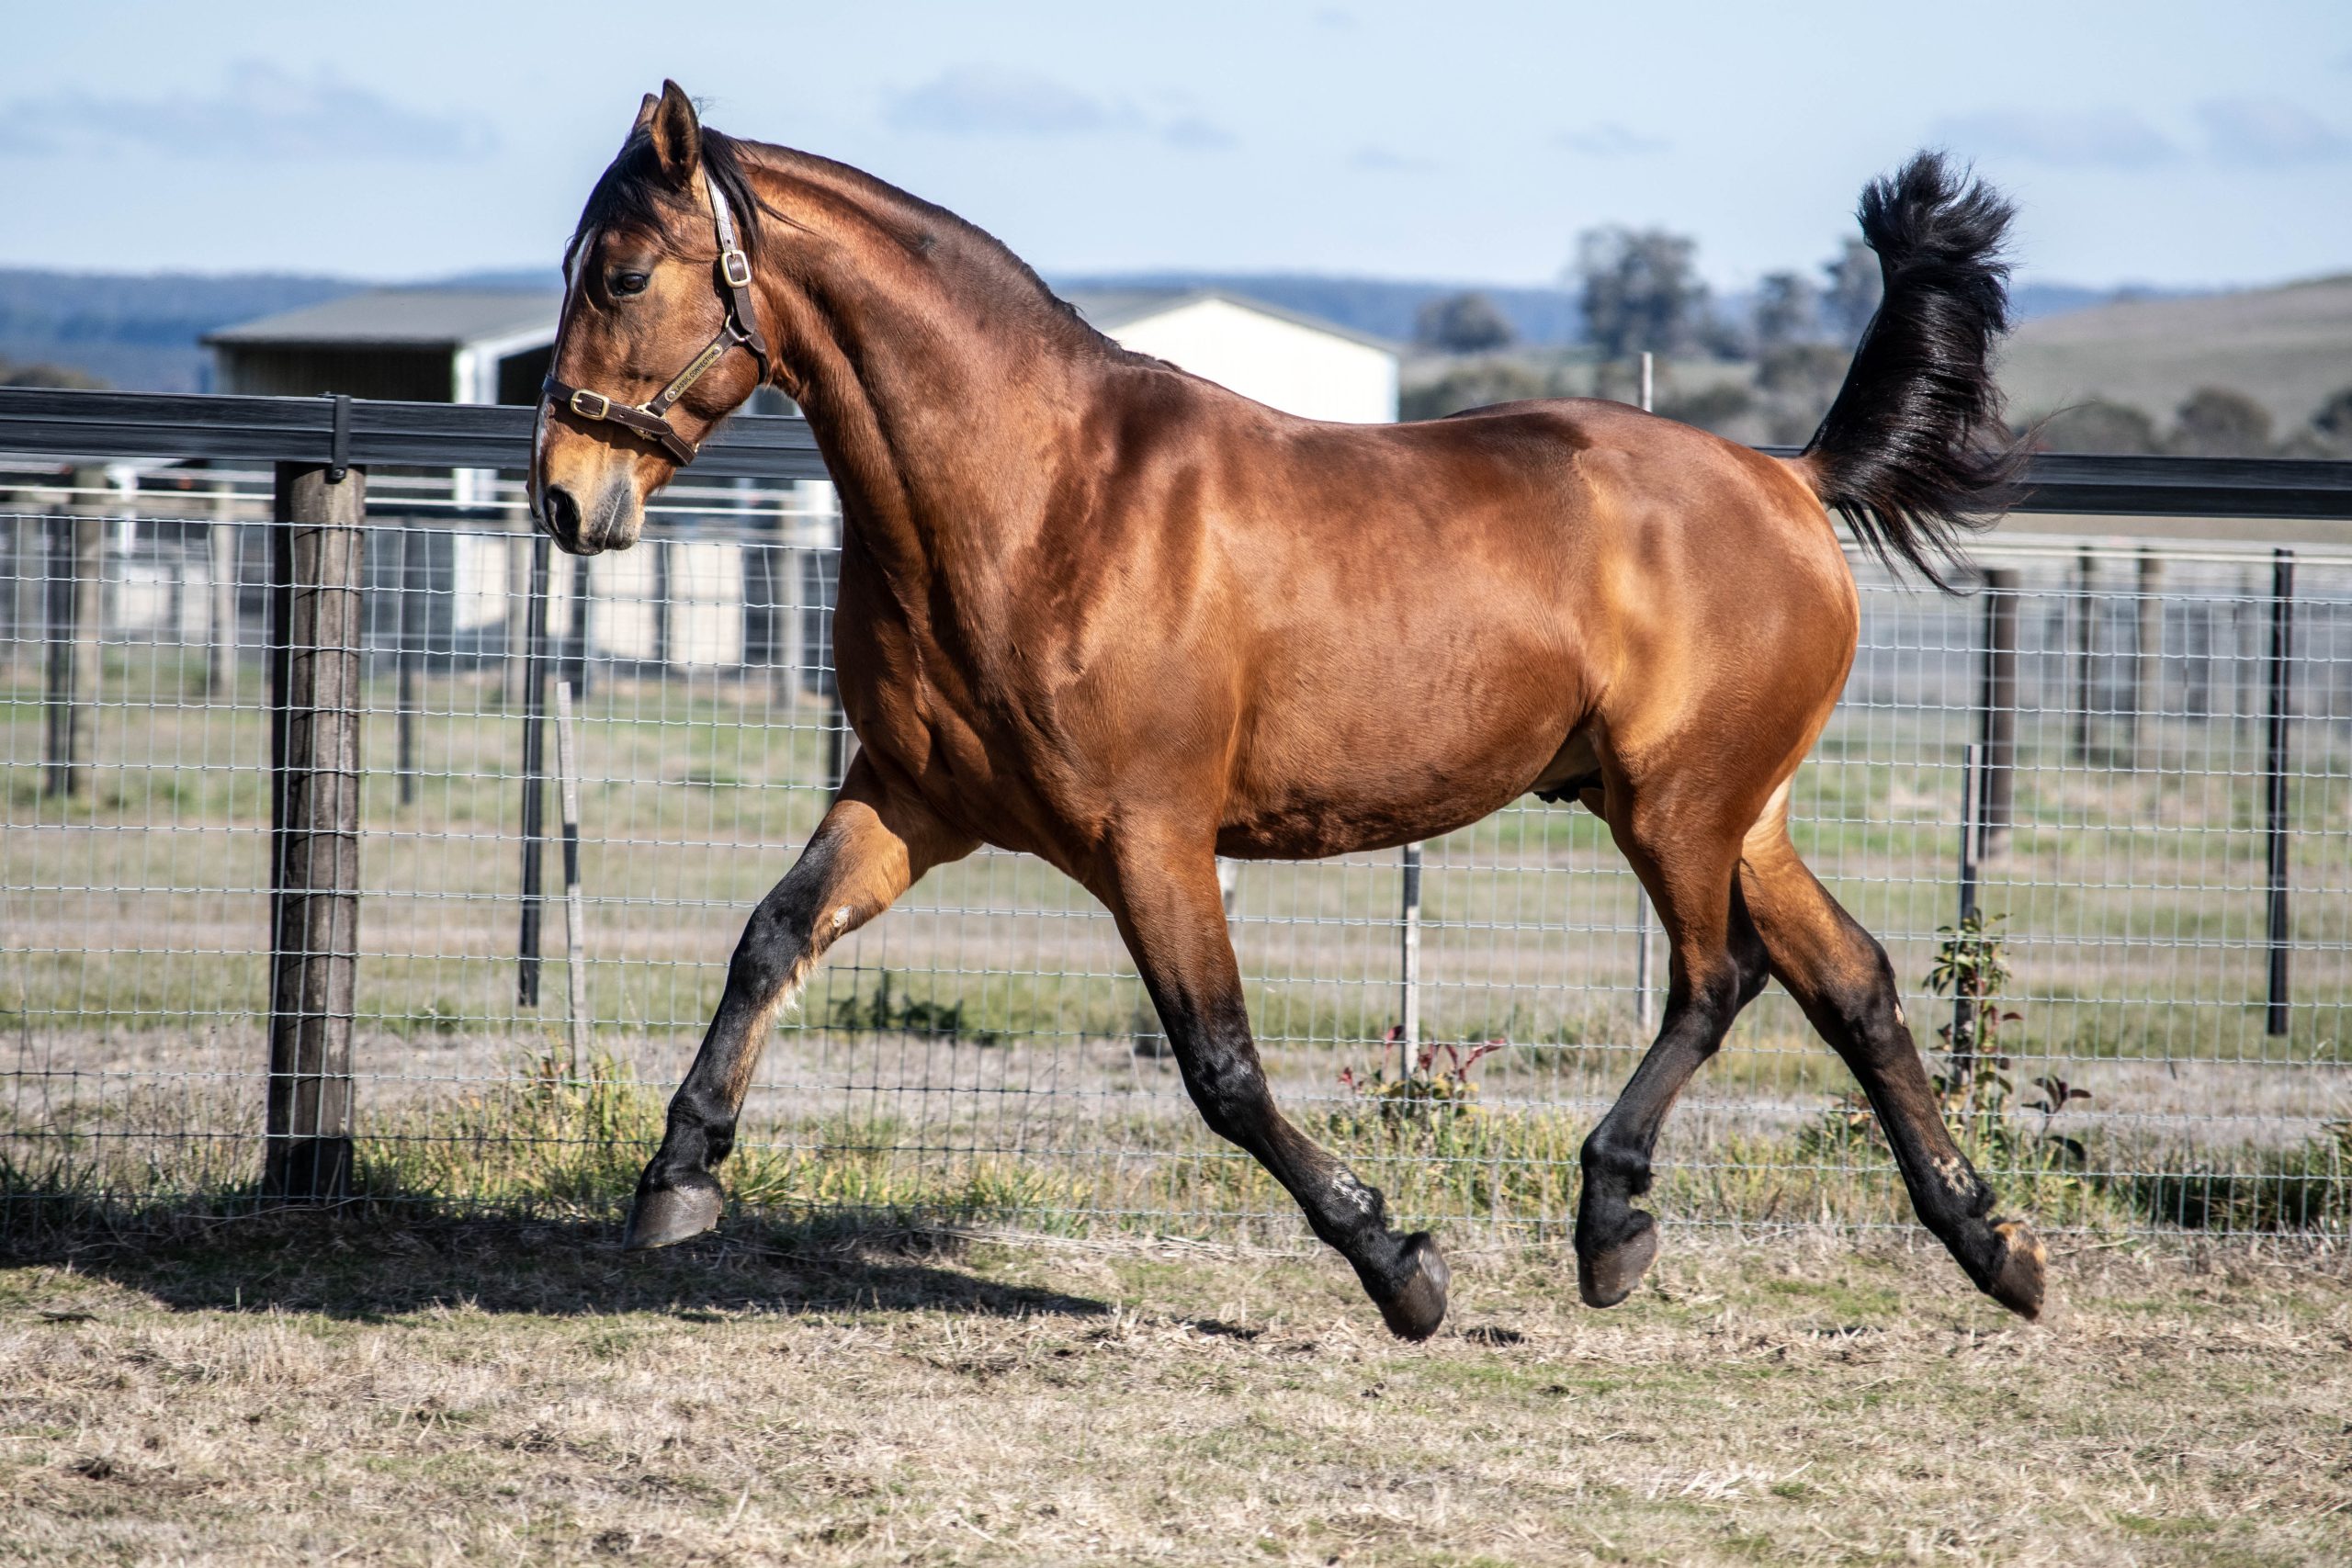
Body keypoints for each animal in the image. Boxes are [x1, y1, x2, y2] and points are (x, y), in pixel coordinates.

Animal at [531, 82, 2045, 1341]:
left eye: (622, 271)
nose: (561, 496)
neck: (1037, 496)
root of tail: (1788, 478)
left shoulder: (1149, 835)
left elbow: (1224, 1068)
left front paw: (1402, 1266)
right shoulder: (910, 800)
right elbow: (767, 941)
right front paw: (676, 1179)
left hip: (1676, 809)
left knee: (1719, 979)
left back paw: (1614, 1220)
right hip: (1738, 813)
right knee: (1852, 981)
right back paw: (1995, 1244)